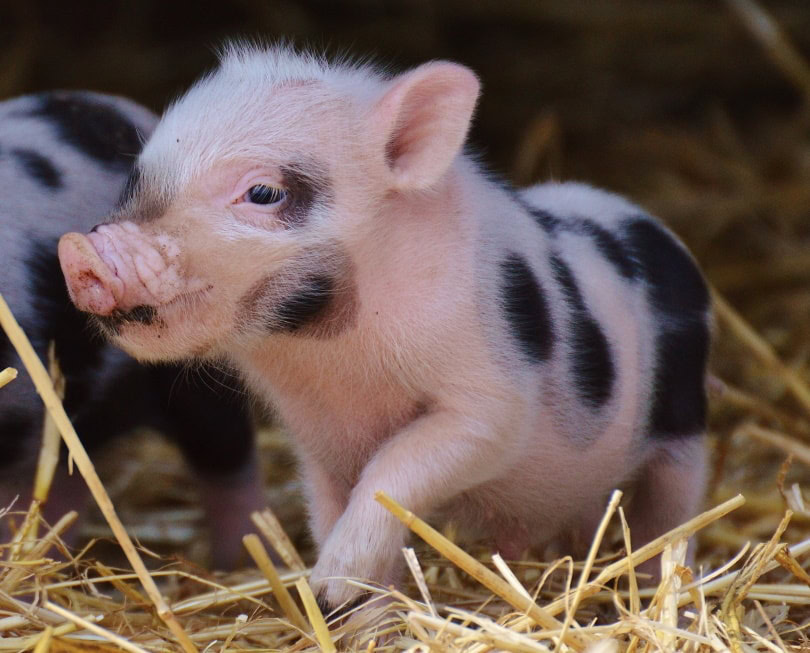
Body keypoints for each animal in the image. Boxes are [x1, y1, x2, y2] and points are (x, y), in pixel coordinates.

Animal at [58, 45, 710, 612]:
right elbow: (331, 507)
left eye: (263, 192)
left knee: (670, 515)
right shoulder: (313, 437)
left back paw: (661, 596)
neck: (334, 362)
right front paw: (350, 609)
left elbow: (396, 469)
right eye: (135, 182)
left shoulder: (489, 401)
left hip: (684, 423)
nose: (82, 254)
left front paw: (329, 583)